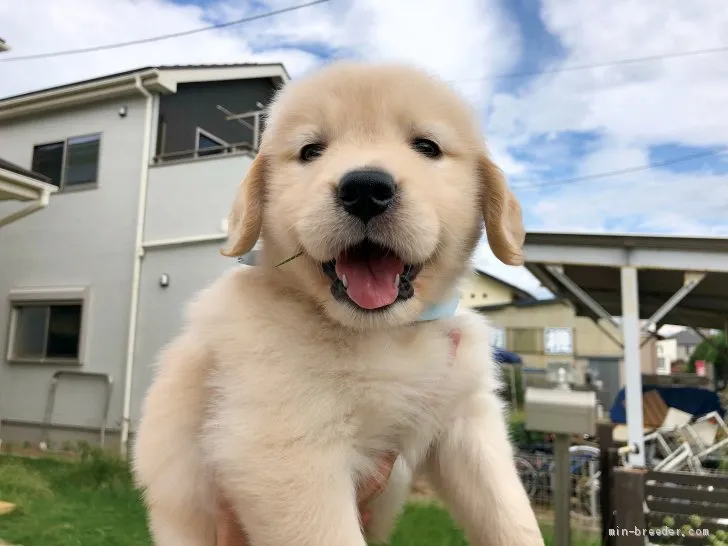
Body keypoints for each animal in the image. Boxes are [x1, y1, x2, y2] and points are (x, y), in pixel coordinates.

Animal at [134, 60, 544, 544]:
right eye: (311, 150)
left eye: (426, 146)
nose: (365, 188)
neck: (382, 333)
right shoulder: (285, 448)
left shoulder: (467, 420)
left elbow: (510, 513)